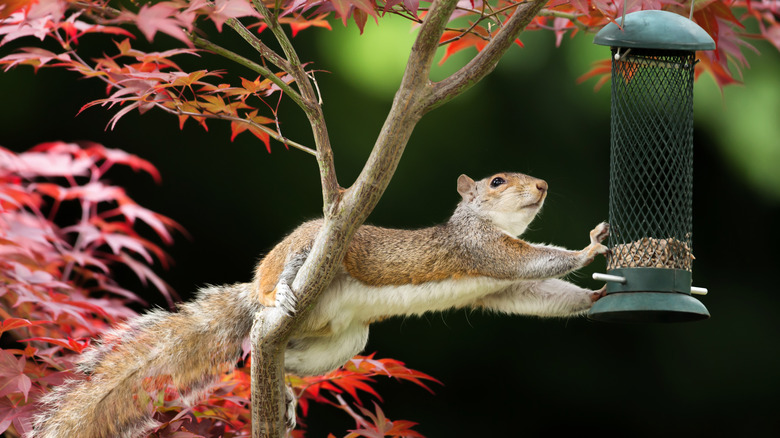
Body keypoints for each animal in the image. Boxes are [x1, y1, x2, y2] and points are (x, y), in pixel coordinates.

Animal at [30, 172, 608, 438]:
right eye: (496, 181)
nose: (543, 185)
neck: (485, 223)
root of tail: (254, 294)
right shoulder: (482, 251)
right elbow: (535, 262)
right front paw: (590, 249)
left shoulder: (498, 285)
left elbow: (535, 294)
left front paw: (598, 294)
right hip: (310, 246)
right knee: (281, 283)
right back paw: (282, 291)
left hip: (344, 341)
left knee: (272, 359)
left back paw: (283, 390)